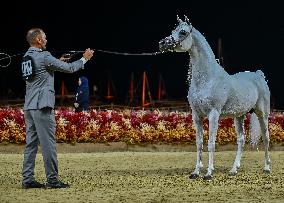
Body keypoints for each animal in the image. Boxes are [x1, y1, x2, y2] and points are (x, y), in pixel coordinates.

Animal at [159, 15, 272, 180]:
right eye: (173, 30)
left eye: (183, 32)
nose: (162, 43)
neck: (208, 78)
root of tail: (258, 75)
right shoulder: (196, 115)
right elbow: (199, 143)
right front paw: (195, 172)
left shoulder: (213, 114)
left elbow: (211, 142)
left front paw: (208, 173)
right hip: (239, 116)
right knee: (241, 139)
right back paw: (233, 169)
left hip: (262, 113)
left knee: (266, 137)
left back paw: (267, 168)